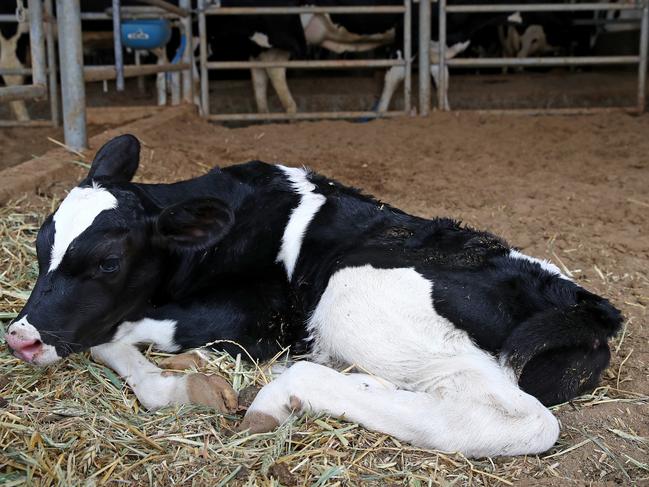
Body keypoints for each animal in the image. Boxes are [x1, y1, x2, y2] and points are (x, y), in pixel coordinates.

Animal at [6, 135, 624, 460]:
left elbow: (111, 336)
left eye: (108, 263)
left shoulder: (254, 316)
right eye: (40, 243)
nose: (20, 336)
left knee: (518, 419)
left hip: (355, 292)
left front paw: (185, 384)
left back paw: (285, 392)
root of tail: (582, 301)